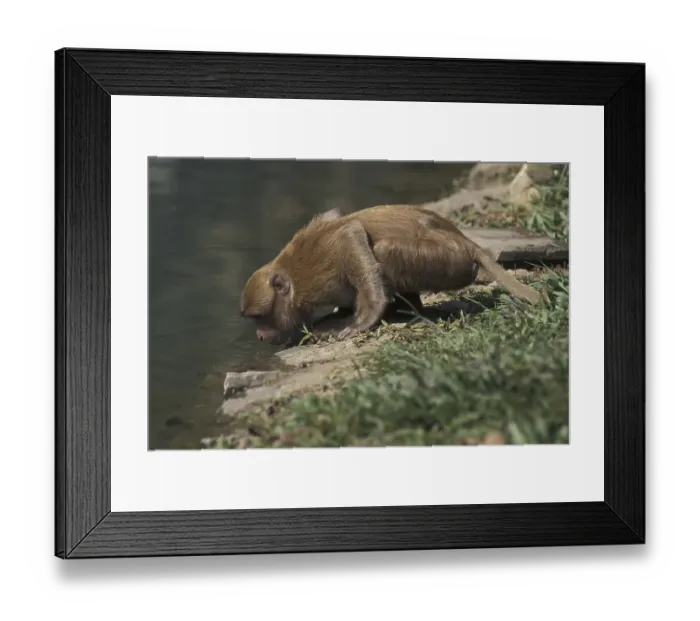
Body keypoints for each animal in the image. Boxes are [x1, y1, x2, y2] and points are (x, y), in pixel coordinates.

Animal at [240, 205, 546, 345]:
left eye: (260, 317)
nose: (259, 336)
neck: (292, 279)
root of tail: (466, 241)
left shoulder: (318, 270)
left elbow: (352, 233)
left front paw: (361, 321)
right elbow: (336, 217)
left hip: (446, 260)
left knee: (384, 251)